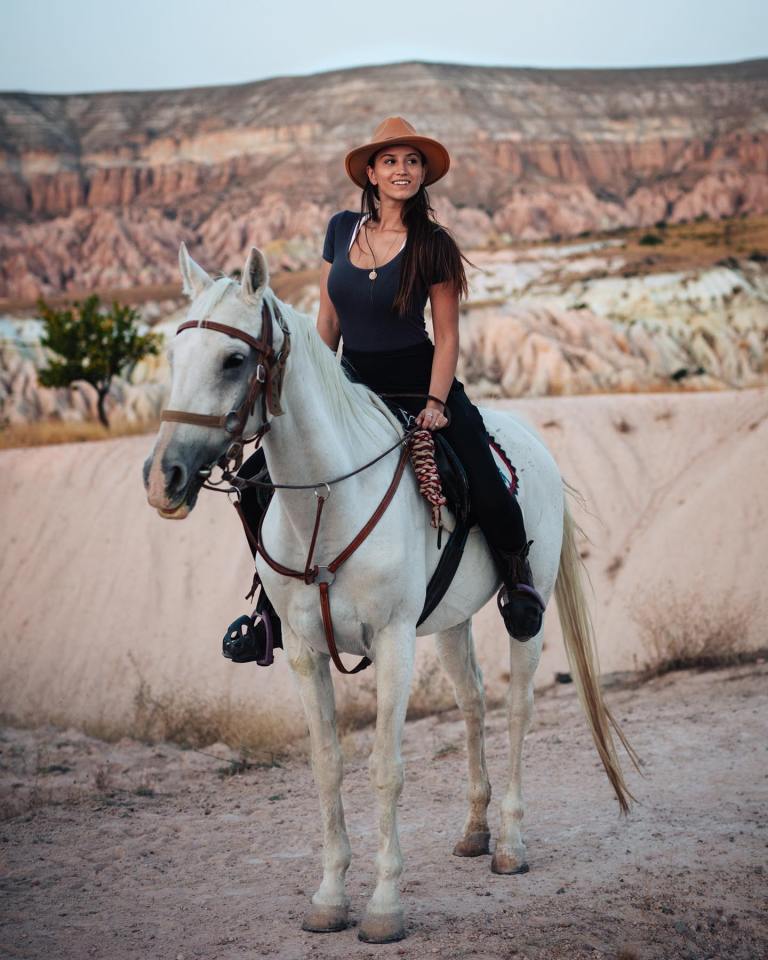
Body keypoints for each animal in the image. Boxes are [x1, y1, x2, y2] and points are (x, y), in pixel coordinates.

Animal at [144, 246, 636, 944]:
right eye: (173, 356)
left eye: (234, 360)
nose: (164, 478)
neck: (329, 501)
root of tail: (531, 439)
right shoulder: (304, 653)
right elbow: (327, 765)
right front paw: (329, 899)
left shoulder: (394, 642)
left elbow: (385, 768)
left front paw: (382, 907)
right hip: (452, 623)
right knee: (473, 703)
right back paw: (475, 831)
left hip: (527, 614)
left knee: (517, 709)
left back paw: (511, 843)